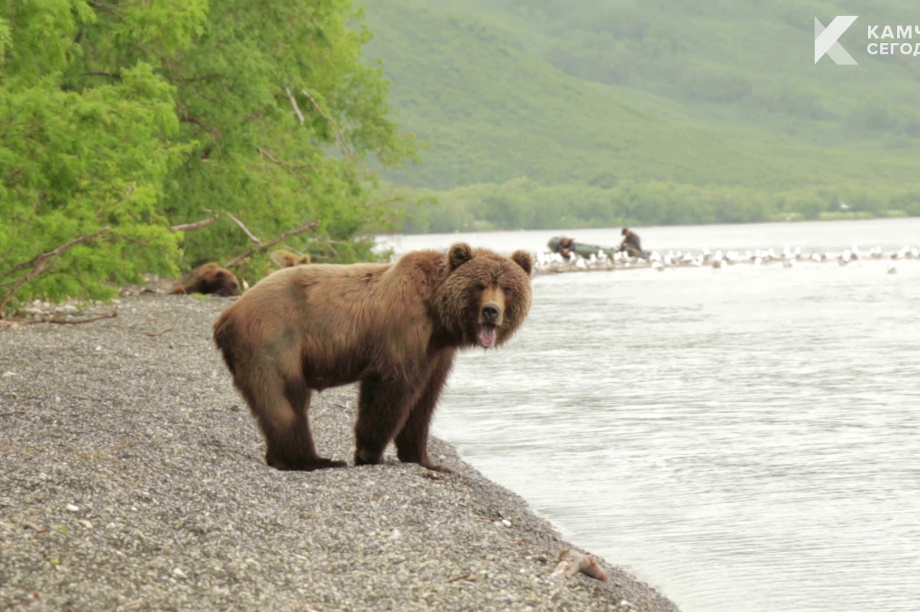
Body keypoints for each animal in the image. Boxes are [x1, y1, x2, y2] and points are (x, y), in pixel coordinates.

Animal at [212, 242, 533, 471]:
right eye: (479, 285)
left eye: (507, 288)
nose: (491, 311)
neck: (438, 317)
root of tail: (225, 317)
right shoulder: (402, 332)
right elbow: (391, 390)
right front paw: (371, 453)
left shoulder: (437, 351)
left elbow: (425, 400)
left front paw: (426, 459)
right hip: (275, 337)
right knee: (286, 397)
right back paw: (310, 460)